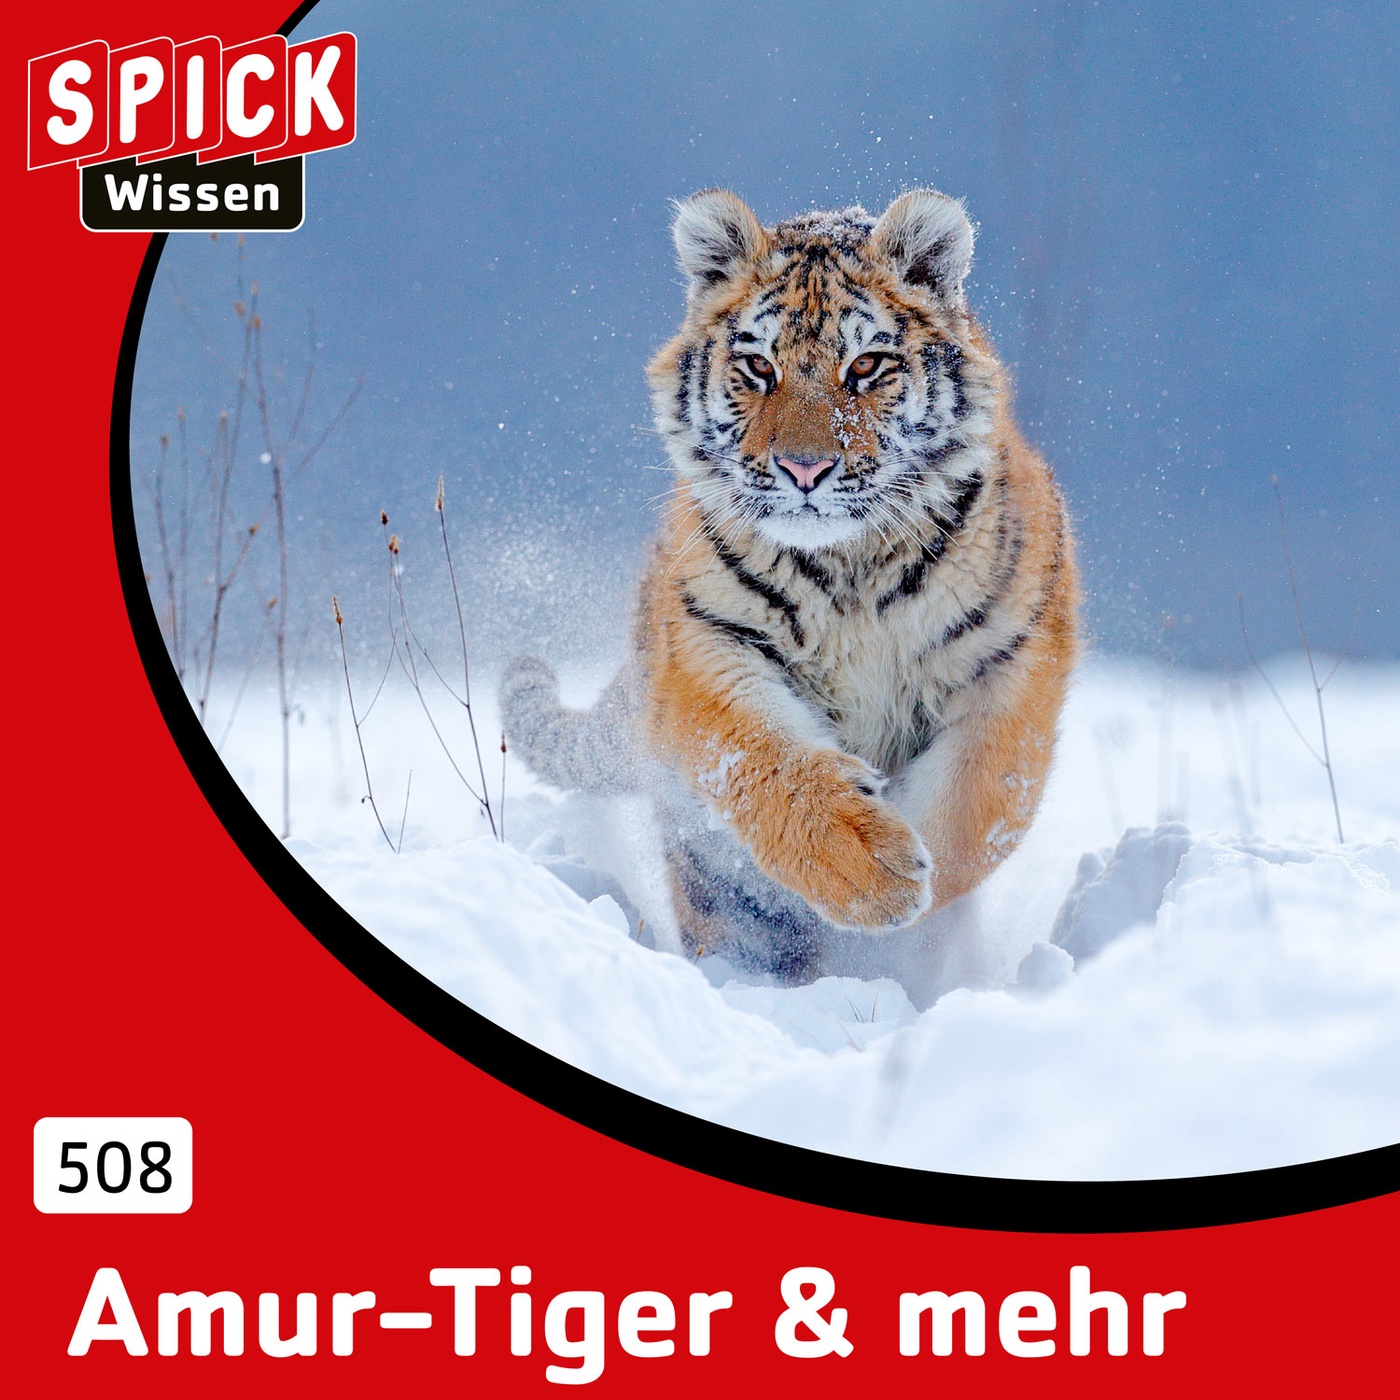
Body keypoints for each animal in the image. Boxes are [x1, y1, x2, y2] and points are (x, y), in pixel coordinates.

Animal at [501, 187, 1078, 983]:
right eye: (757, 365)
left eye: (867, 365)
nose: (804, 470)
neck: (850, 567)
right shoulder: (711, 648)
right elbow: (767, 765)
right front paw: (870, 872)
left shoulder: (1009, 666)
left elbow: (974, 808)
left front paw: (913, 888)